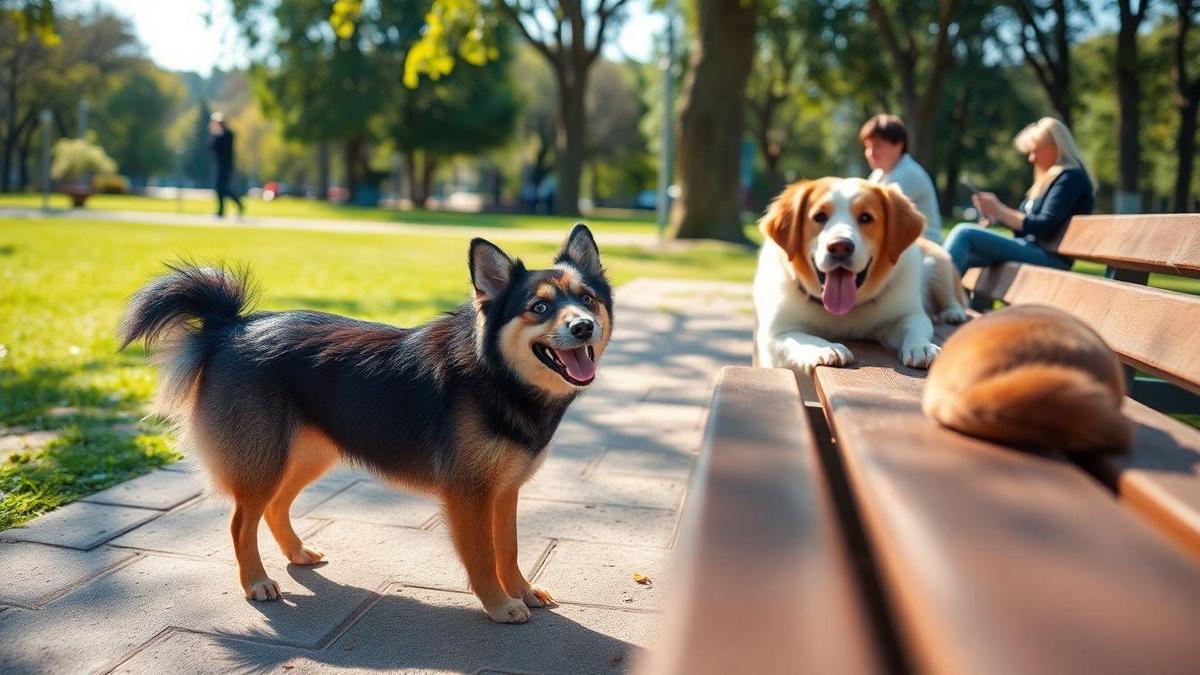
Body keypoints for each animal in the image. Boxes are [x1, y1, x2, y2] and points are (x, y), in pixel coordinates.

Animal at [118, 224, 614, 619]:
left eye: (587, 299)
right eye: (539, 308)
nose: (583, 326)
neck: (496, 373)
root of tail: (228, 328)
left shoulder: (504, 491)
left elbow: (507, 550)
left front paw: (522, 591)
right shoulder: (468, 495)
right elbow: (480, 556)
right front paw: (498, 604)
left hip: (307, 455)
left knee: (276, 507)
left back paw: (297, 552)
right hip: (263, 459)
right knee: (243, 522)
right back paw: (256, 581)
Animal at [753, 176, 969, 372]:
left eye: (866, 218)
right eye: (820, 216)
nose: (840, 247)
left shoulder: (907, 314)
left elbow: (913, 326)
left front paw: (922, 347)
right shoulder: (775, 334)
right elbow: (799, 339)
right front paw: (825, 347)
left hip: (939, 264)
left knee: (952, 299)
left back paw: (953, 313)